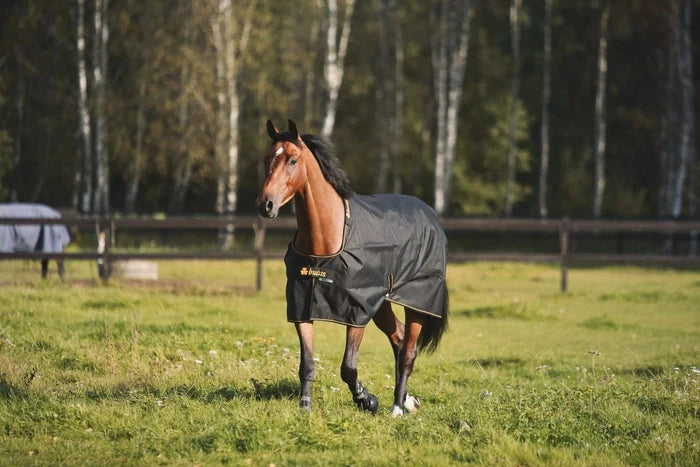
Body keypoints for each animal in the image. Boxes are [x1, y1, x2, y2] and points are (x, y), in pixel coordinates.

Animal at [256, 119, 449, 416]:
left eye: (292, 160)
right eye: (267, 159)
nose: (266, 205)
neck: (327, 242)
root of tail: (429, 213)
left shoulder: (357, 311)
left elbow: (348, 367)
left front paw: (367, 400)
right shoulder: (302, 307)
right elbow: (307, 364)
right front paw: (305, 408)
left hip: (417, 301)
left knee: (408, 351)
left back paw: (396, 408)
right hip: (382, 304)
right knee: (398, 338)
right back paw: (407, 401)